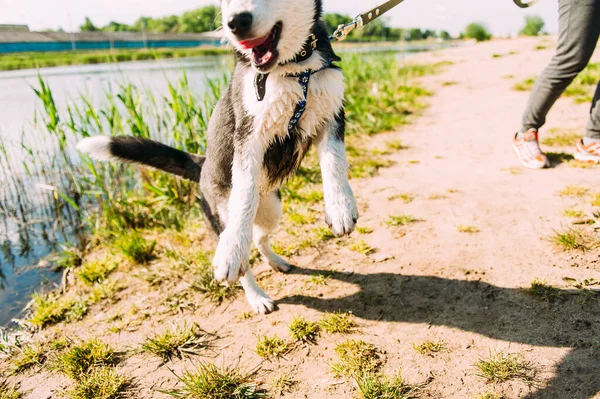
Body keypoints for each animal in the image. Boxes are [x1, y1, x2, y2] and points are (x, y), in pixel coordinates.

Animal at [74, 0, 356, 314]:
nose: (235, 23)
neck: (294, 69)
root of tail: (202, 166)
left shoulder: (331, 116)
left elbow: (334, 162)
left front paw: (340, 207)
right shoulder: (248, 135)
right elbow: (244, 192)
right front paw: (232, 252)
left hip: (272, 208)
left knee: (259, 238)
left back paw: (276, 262)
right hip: (224, 214)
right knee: (243, 255)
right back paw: (256, 295)